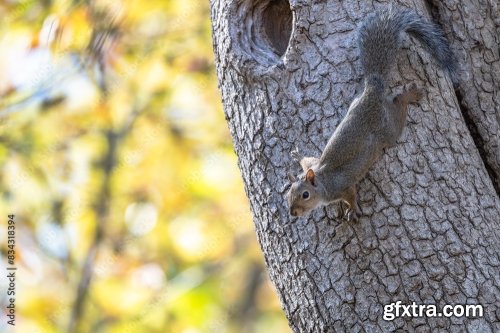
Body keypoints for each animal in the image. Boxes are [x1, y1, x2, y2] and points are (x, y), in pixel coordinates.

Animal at [288, 5, 456, 220]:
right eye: (289, 195)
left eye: (305, 195)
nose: (293, 213)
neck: (322, 179)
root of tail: (372, 90)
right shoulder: (314, 164)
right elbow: (308, 160)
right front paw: (297, 156)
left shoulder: (342, 187)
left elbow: (351, 196)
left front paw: (352, 209)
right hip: (356, 103)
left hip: (388, 129)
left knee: (398, 106)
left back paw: (410, 95)